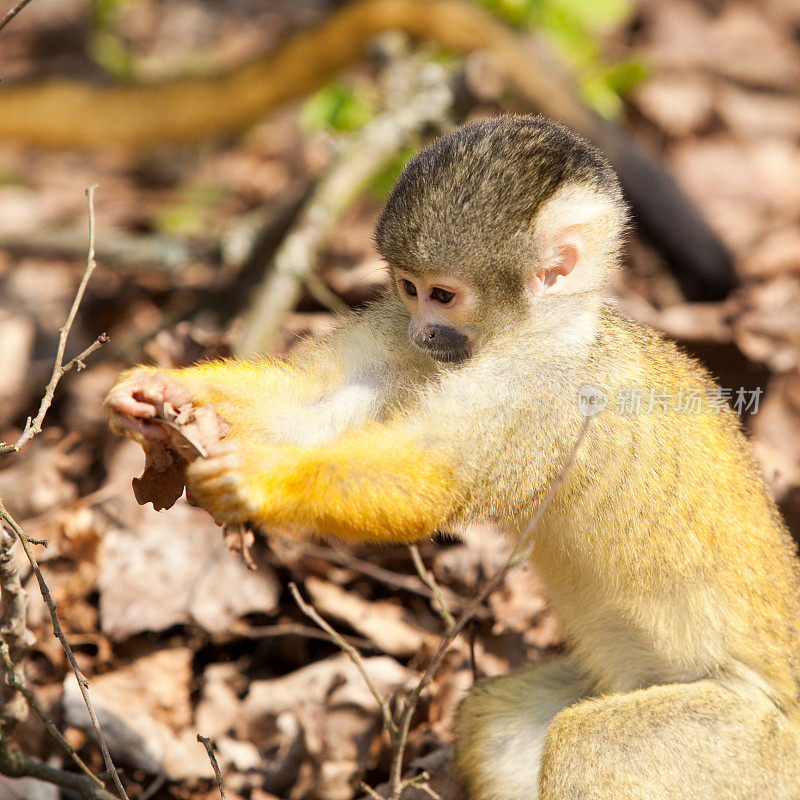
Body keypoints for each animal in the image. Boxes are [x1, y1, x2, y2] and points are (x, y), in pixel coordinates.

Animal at [104, 114, 800, 800]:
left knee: (589, 747)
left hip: (749, 751)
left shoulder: (539, 393)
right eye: (408, 289)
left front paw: (256, 482)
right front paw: (162, 391)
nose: (420, 331)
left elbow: (431, 481)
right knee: (494, 724)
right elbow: (317, 405)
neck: (542, 332)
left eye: (443, 295)